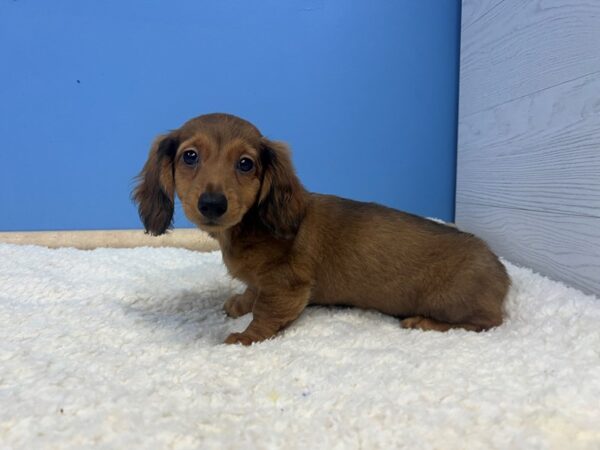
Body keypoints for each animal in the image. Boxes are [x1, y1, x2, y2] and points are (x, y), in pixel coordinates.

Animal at [134, 112, 508, 344]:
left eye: (245, 164)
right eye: (190, 156)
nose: (212, 204)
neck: (251, 227)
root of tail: (503, 273)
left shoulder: (288, 287)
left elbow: (266, 313)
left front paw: (246, 337)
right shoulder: (262, 281)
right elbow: (254, 293)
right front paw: (240, 304)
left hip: (452, 303)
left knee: (488, 323)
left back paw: (424, 322)